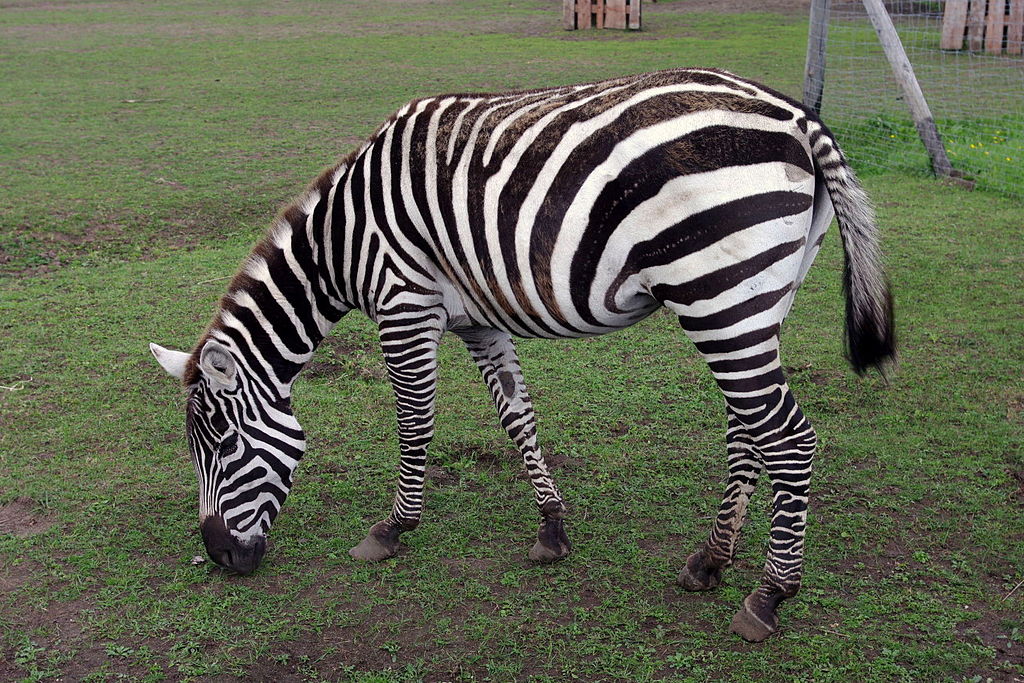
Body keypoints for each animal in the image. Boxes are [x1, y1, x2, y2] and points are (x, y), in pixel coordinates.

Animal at [148, 68, 892, 643]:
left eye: (222, 444)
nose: (219, 557)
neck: (344, 239)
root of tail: (796, 114)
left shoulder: (404, 305)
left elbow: (414, 424)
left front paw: (393, 528)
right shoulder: (477, 321)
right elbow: (518, 418)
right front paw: (552, 528)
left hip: (720, 293)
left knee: (789, 439)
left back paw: (768, 595)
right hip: (756, 299)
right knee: (749, 429)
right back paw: (710, 559)